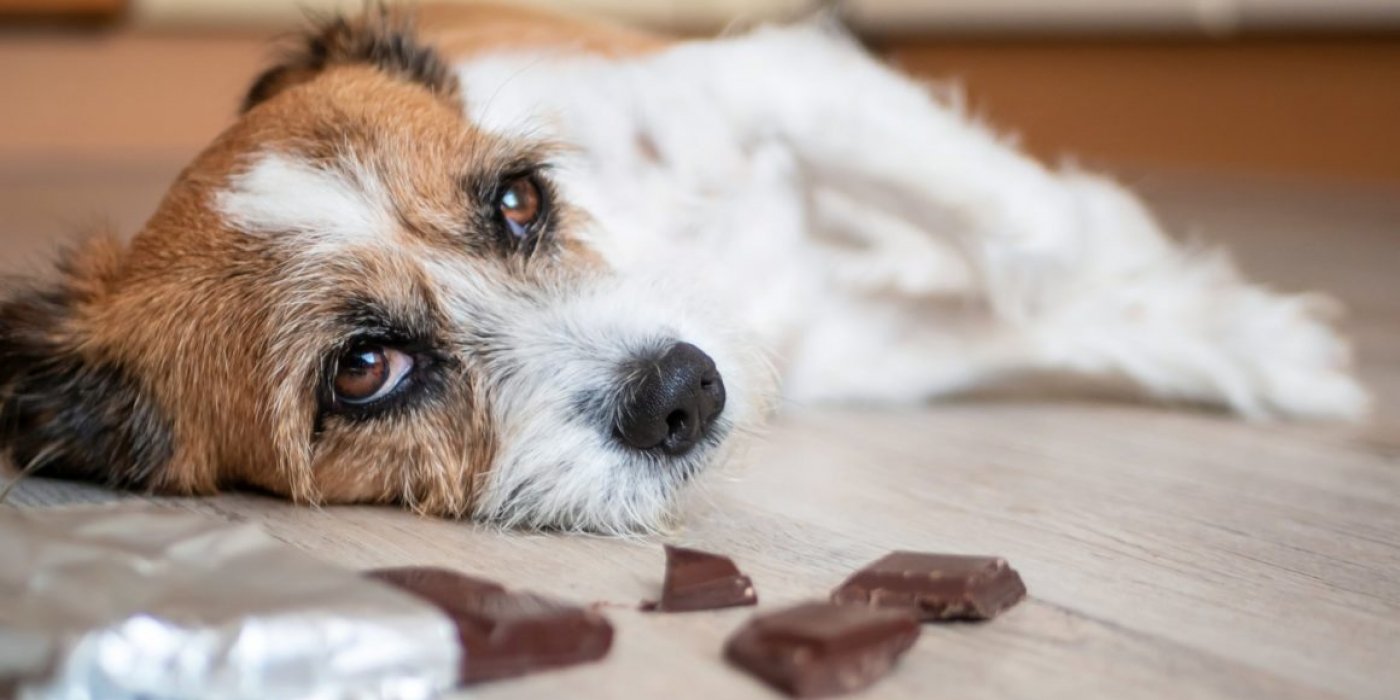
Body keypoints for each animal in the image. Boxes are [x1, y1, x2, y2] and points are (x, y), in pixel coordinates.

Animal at [0, 5, 1366, 532]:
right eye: (363, 369)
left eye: (517, 200)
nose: (681, 392)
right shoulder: (855, 348)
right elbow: (1036, 304)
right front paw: (1248, 341)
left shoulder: (774, 80)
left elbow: (1036, 237)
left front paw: (1257, 340)